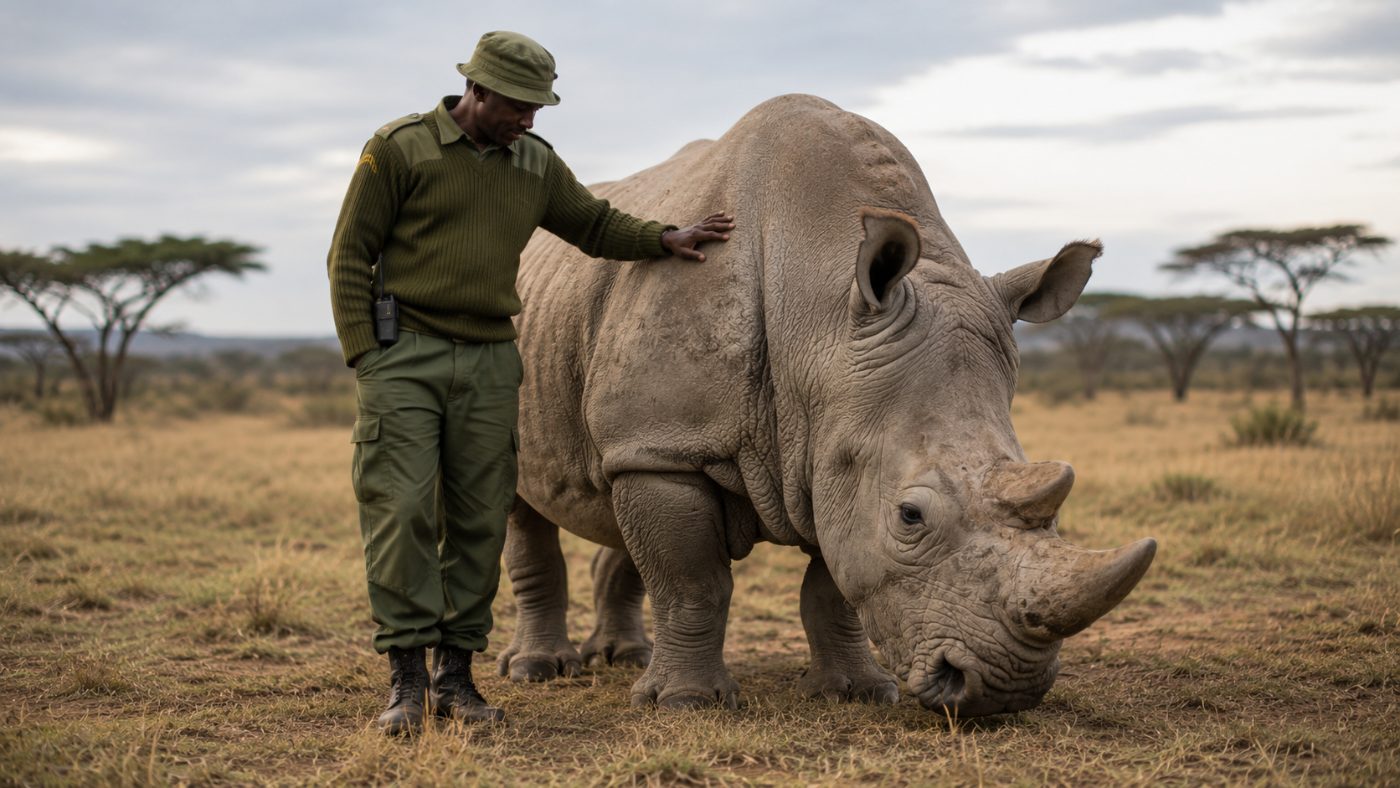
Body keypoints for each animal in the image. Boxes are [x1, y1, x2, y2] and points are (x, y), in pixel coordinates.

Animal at [499, 94, 1156, 717]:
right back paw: (538, 670)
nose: (1005, 690)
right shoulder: (669, 441)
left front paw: (855, 693)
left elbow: (833, 582)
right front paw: (686, 704)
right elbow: (692, 581)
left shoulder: (824, 442)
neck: (821, 319)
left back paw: (623, 658)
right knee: (524, 501)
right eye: (910, 517)